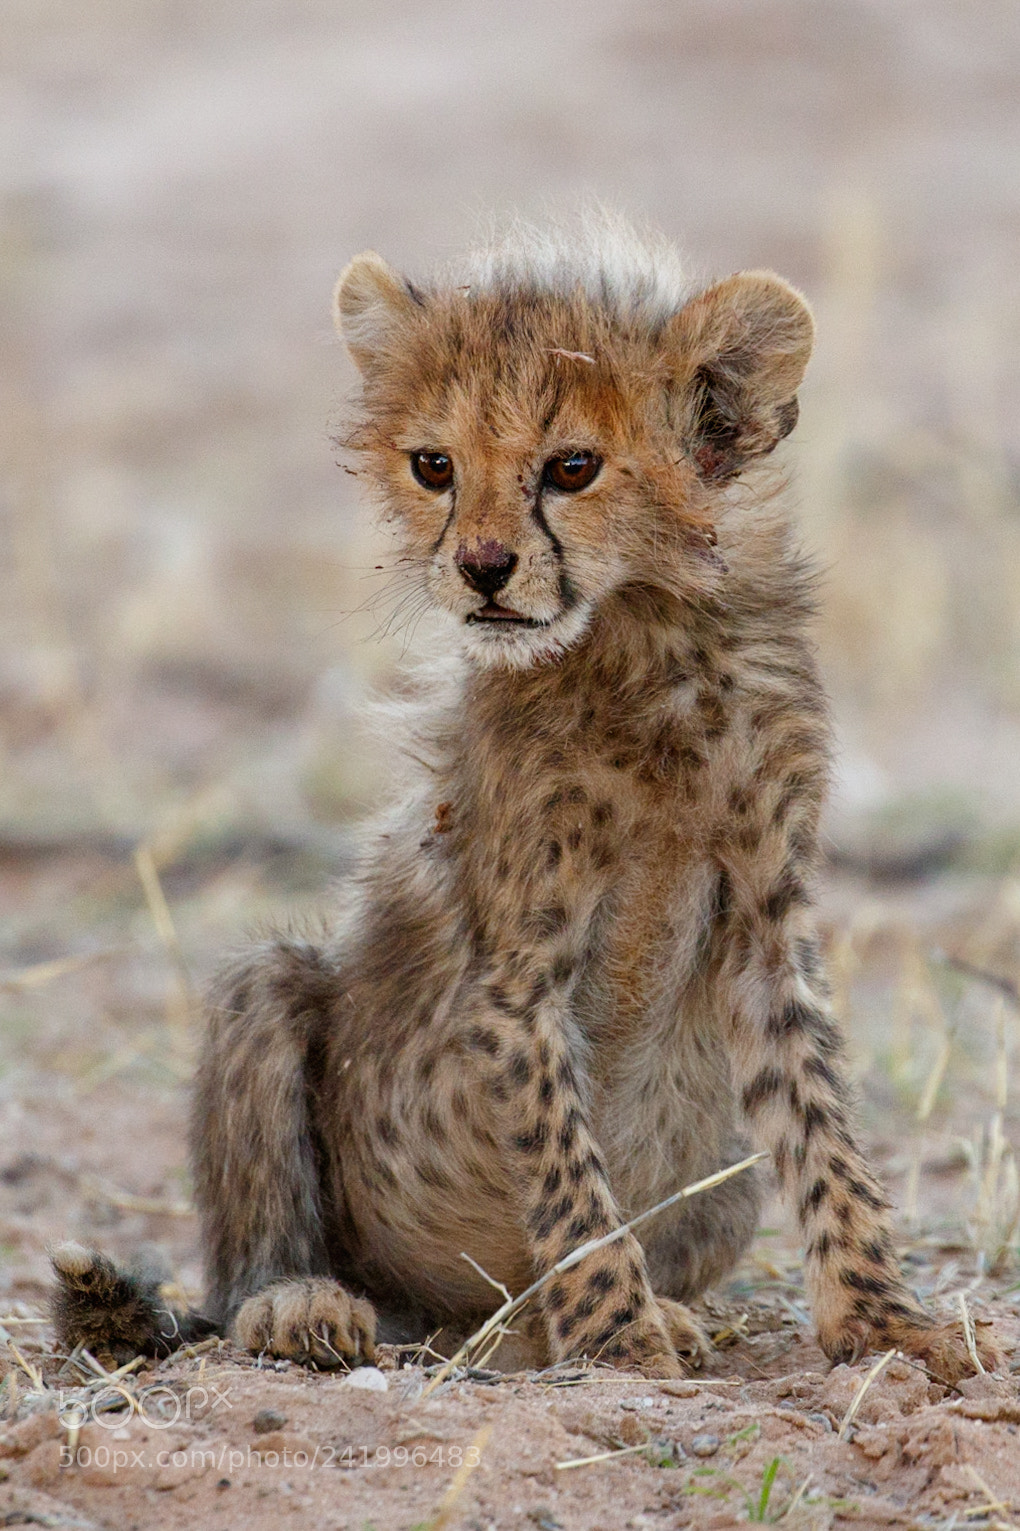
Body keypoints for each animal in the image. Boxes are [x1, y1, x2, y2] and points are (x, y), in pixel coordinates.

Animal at [52, 215, 1000, 1384]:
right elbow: (568, 1172)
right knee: (252, 1249)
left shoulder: (769, 927)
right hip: (268, 1000)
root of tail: (447, 1319)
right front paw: (620, 1336)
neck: (644, 641)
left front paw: (885, 1321)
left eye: (572, 467)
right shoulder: (516, 978)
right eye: (435, 466)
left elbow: (824, 1133)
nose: (483, 566)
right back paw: (303, 1304)